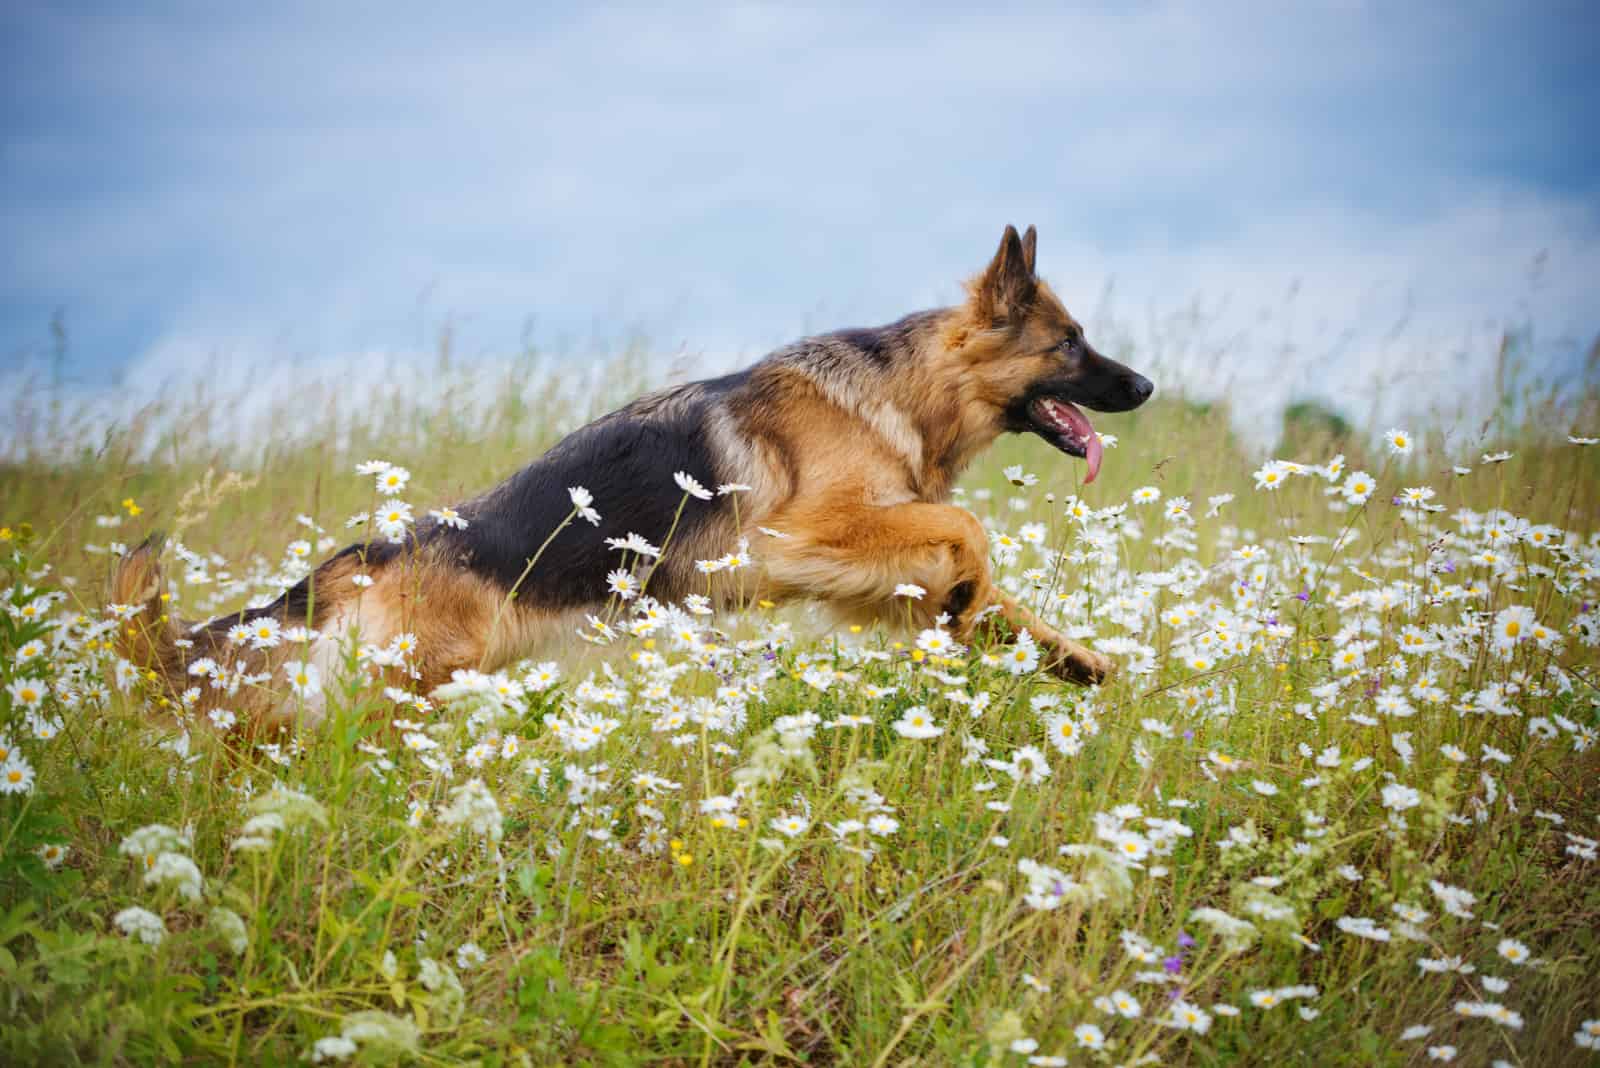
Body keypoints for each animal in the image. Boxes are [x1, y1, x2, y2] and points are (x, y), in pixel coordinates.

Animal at [118, 227, 1158, 735]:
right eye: (1071, 344)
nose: (1148, 388)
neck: (905, 387)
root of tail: (366, 554)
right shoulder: (801, 539)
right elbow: (973, 535)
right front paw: (972, 598)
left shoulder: (865, 558)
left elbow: (999, 594)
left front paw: (1079, 660)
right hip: (406, 684)